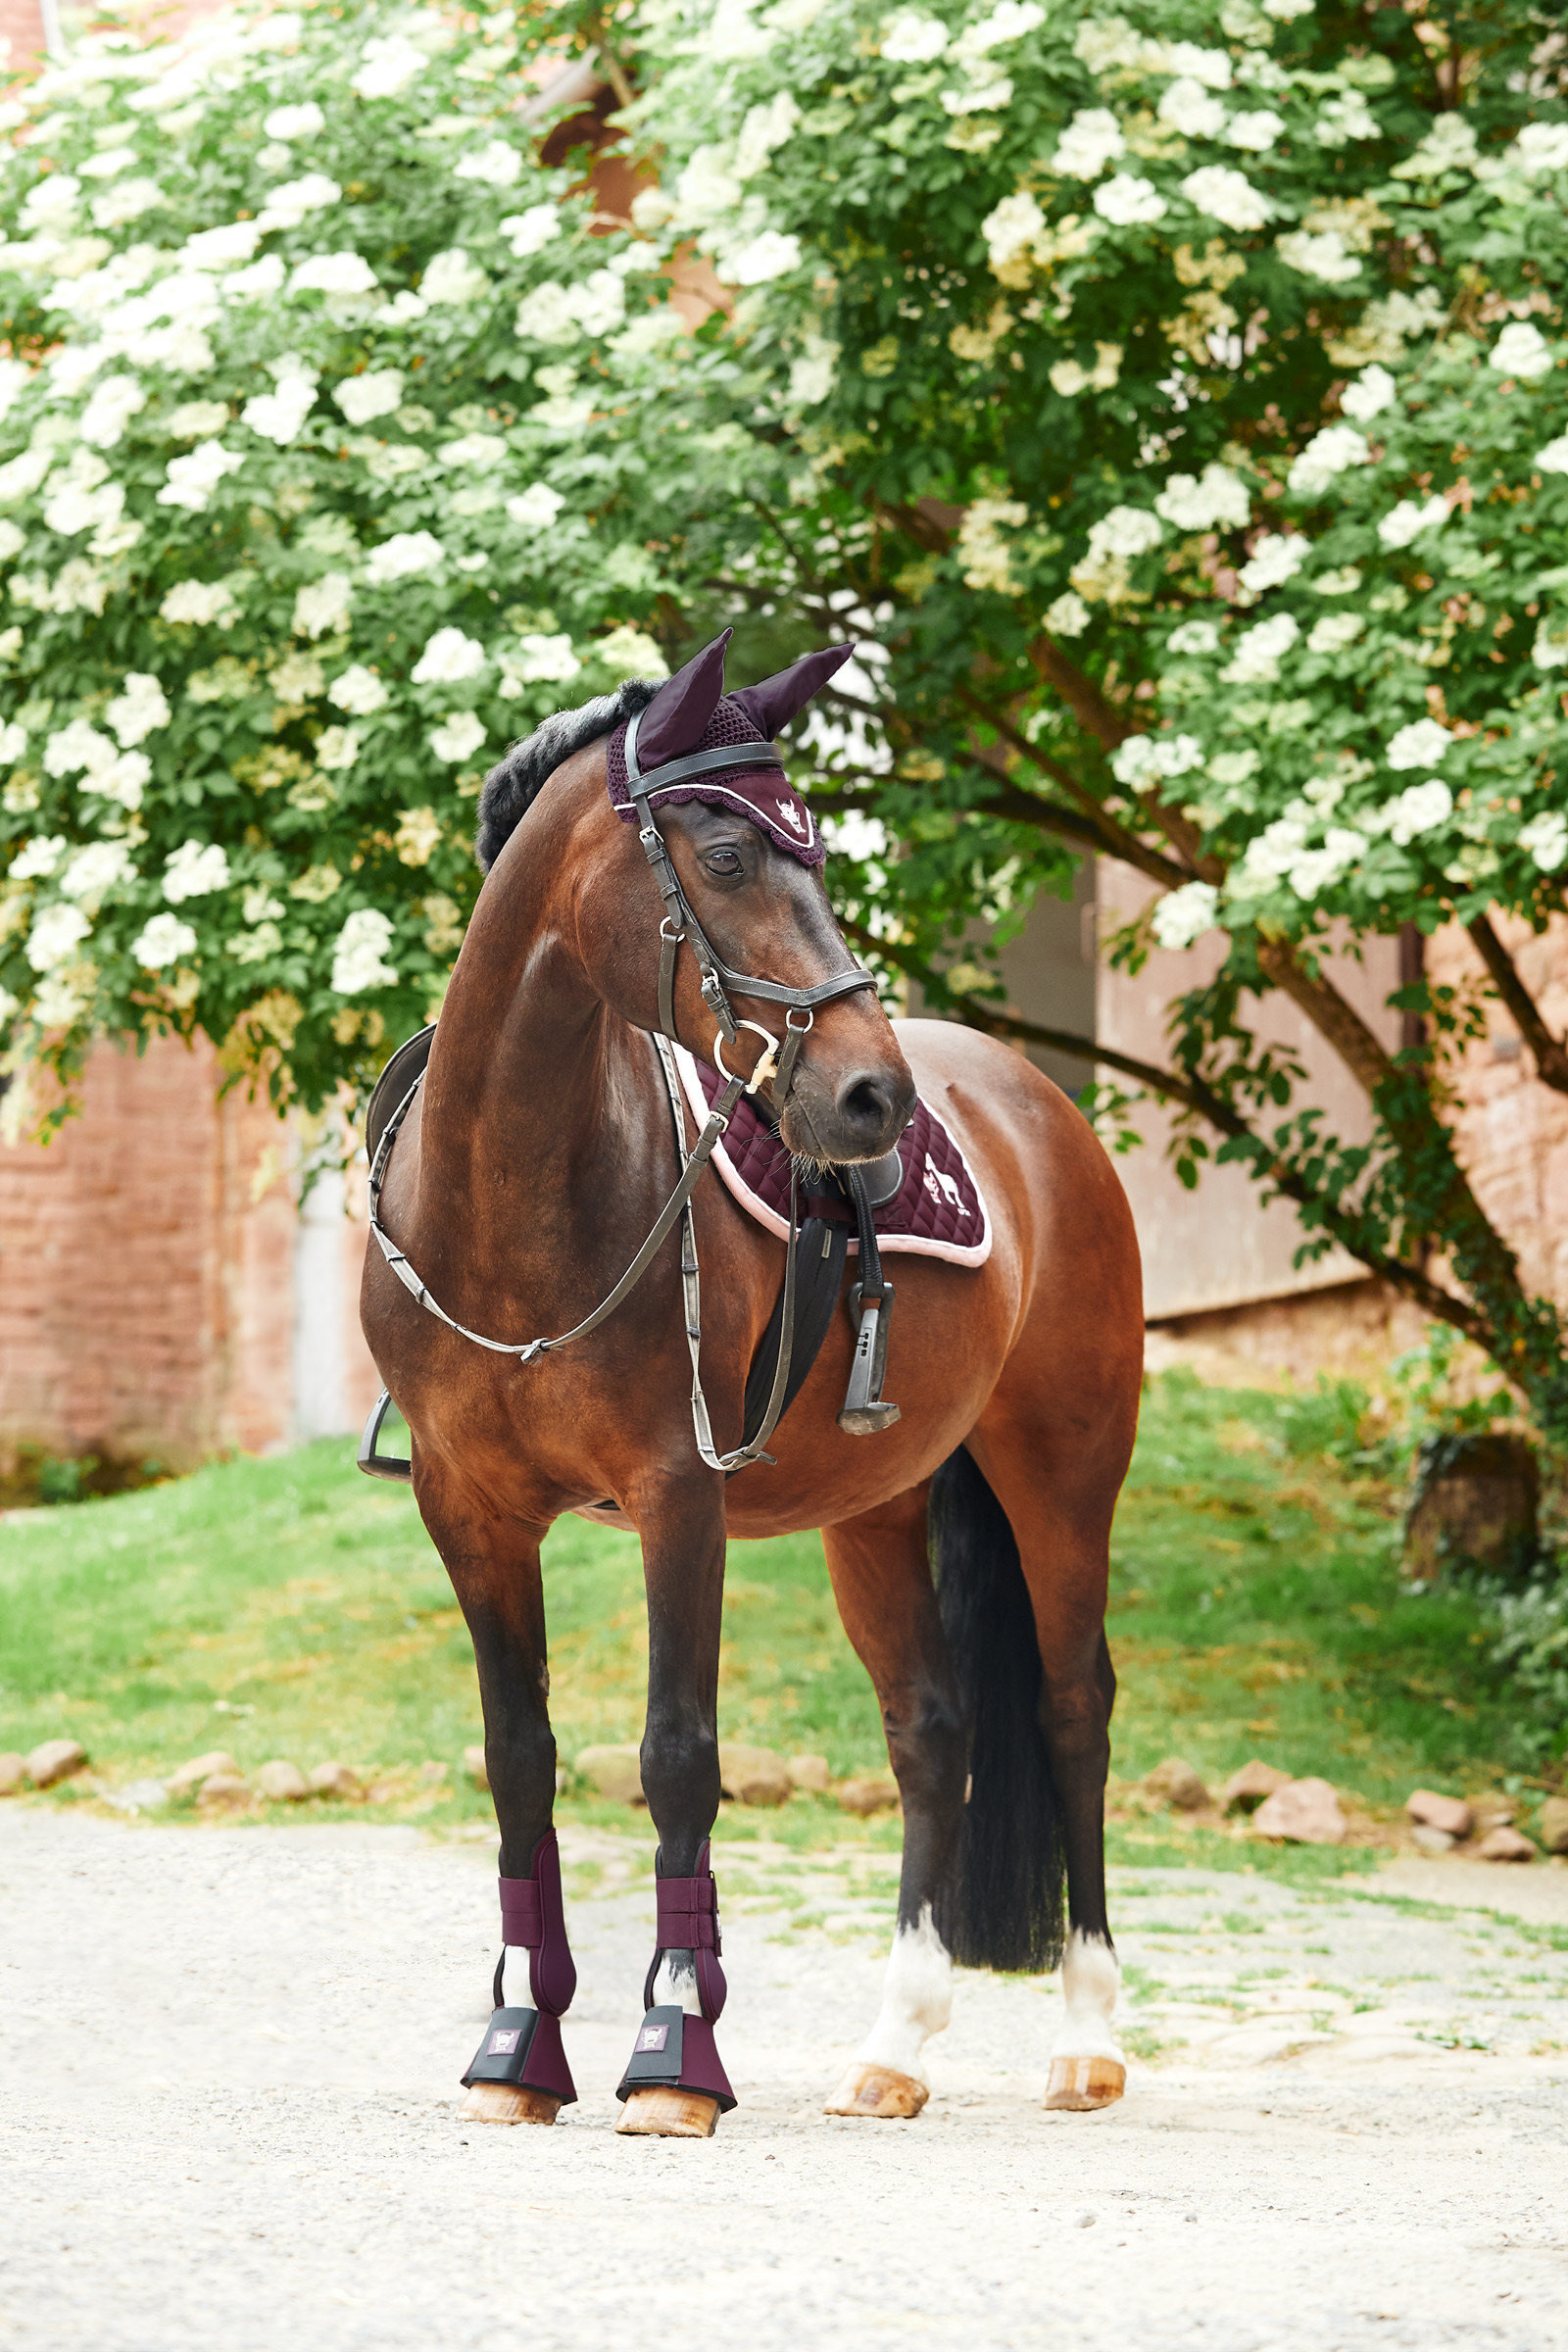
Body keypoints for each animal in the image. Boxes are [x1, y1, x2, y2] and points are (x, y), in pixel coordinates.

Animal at [359, 630, 1144, 2134]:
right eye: (723, 856)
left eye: (820, 856)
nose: (872, 1100)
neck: (512, 1204)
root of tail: (1033, 1100)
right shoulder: (466, 1510)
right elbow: (520, 1760)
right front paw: (516, 2047)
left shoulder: (680, 1494)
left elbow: (678, 1755)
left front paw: (673, 2052)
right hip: (878, 1508)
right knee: (932, 1732)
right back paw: (895, 2049)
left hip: (1065, 1479)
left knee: (1072, 1710)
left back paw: (1087, 2039)